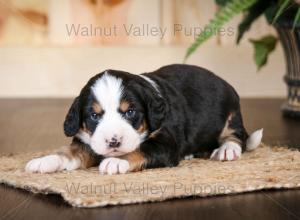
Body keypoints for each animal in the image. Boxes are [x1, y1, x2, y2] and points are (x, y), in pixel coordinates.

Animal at [25, 64, 262, 174]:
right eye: (94, 115)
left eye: (130, 112)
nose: (113, 142)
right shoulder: (88, 141)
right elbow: (68, 152)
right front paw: (44, 161)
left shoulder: (165, 142)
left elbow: (141, 149)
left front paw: (116, 161)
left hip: (230, 114)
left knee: (237, 136)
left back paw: (227, 150)